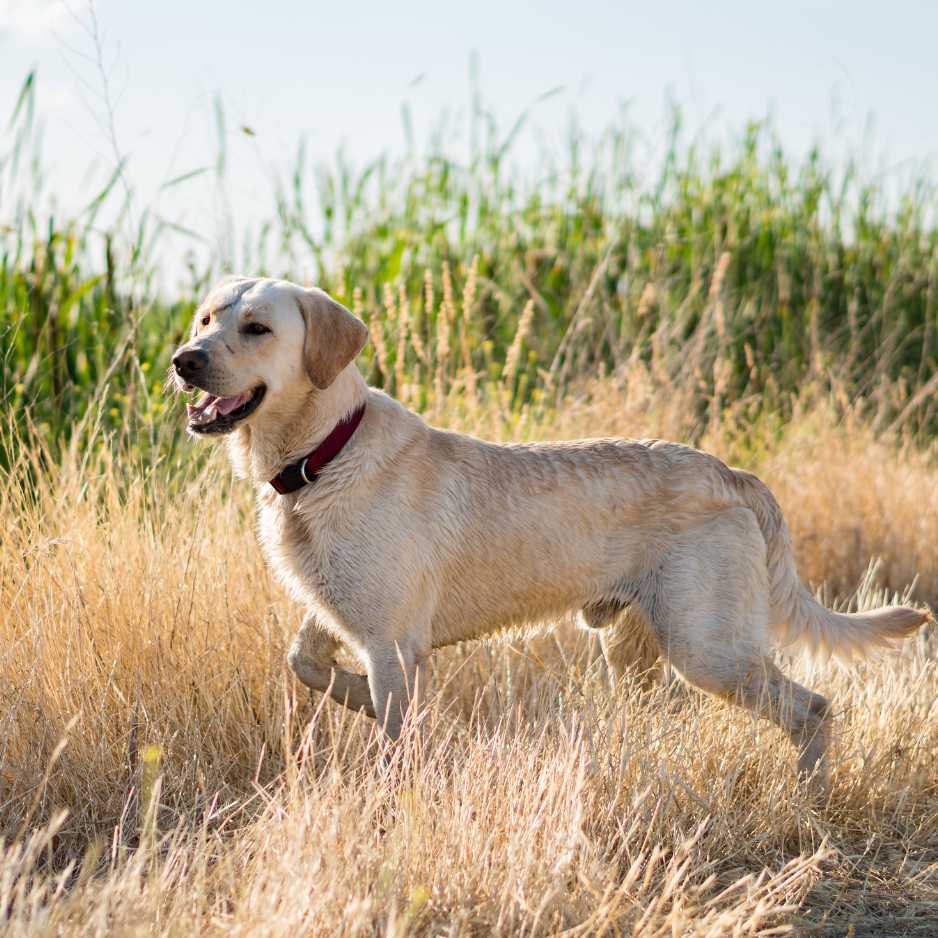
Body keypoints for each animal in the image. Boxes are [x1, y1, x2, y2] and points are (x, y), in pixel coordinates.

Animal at [172, 274, 924, 788]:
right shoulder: (342, 616)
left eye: (257, 328)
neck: (323, 454)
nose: (185, 358)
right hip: (635, 649)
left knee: (813, 707)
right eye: (207, 317)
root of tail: (730, 472)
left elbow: (392, 732)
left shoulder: (390, 641)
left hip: (708, 647)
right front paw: (374, 703)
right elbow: (304, 664)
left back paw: (811, 801)